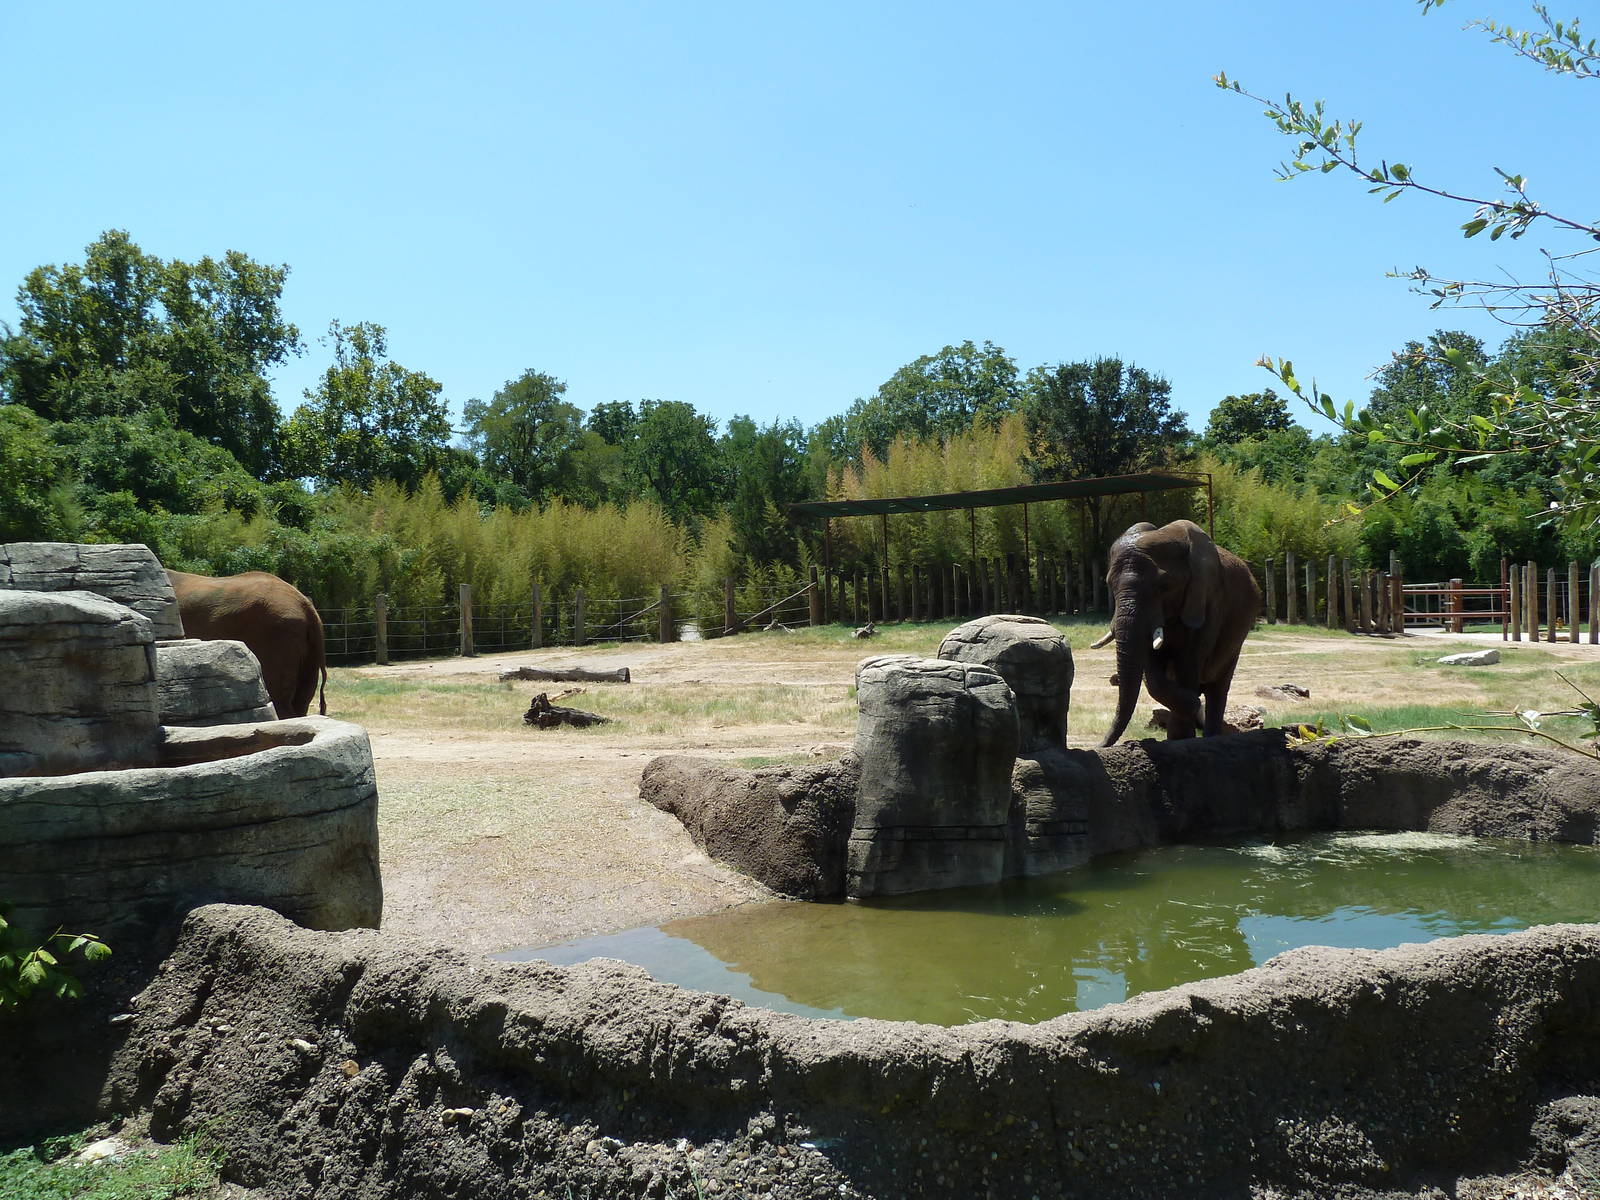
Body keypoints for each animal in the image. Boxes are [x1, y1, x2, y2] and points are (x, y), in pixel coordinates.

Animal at [1098, 519, 1259, 747]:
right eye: (1110, 585)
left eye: (1164, 587)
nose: (1100, 746)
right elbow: (1153, 674)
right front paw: (1189, 711)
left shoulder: (1208, 600)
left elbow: (1188, 660)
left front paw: (1184, 730)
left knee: (1218, 688)